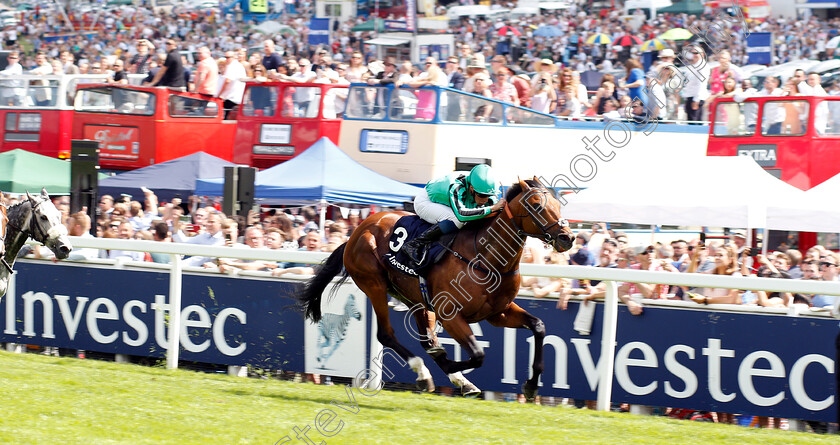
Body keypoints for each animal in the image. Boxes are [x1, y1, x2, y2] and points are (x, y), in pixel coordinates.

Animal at [304, 179, 576, 398]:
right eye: (537, 205)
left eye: (558, 203)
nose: (568, 237)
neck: (486, 257)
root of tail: (356, 231)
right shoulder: (451, 314)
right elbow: (477, 354)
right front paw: (450, 365)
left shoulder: (498, 313)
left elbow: (538, 326)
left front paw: (531, 385)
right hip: (374, 284)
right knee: (386, 334)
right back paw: (426, 372)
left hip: (415, 299)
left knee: (425, 340)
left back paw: (453, 379)